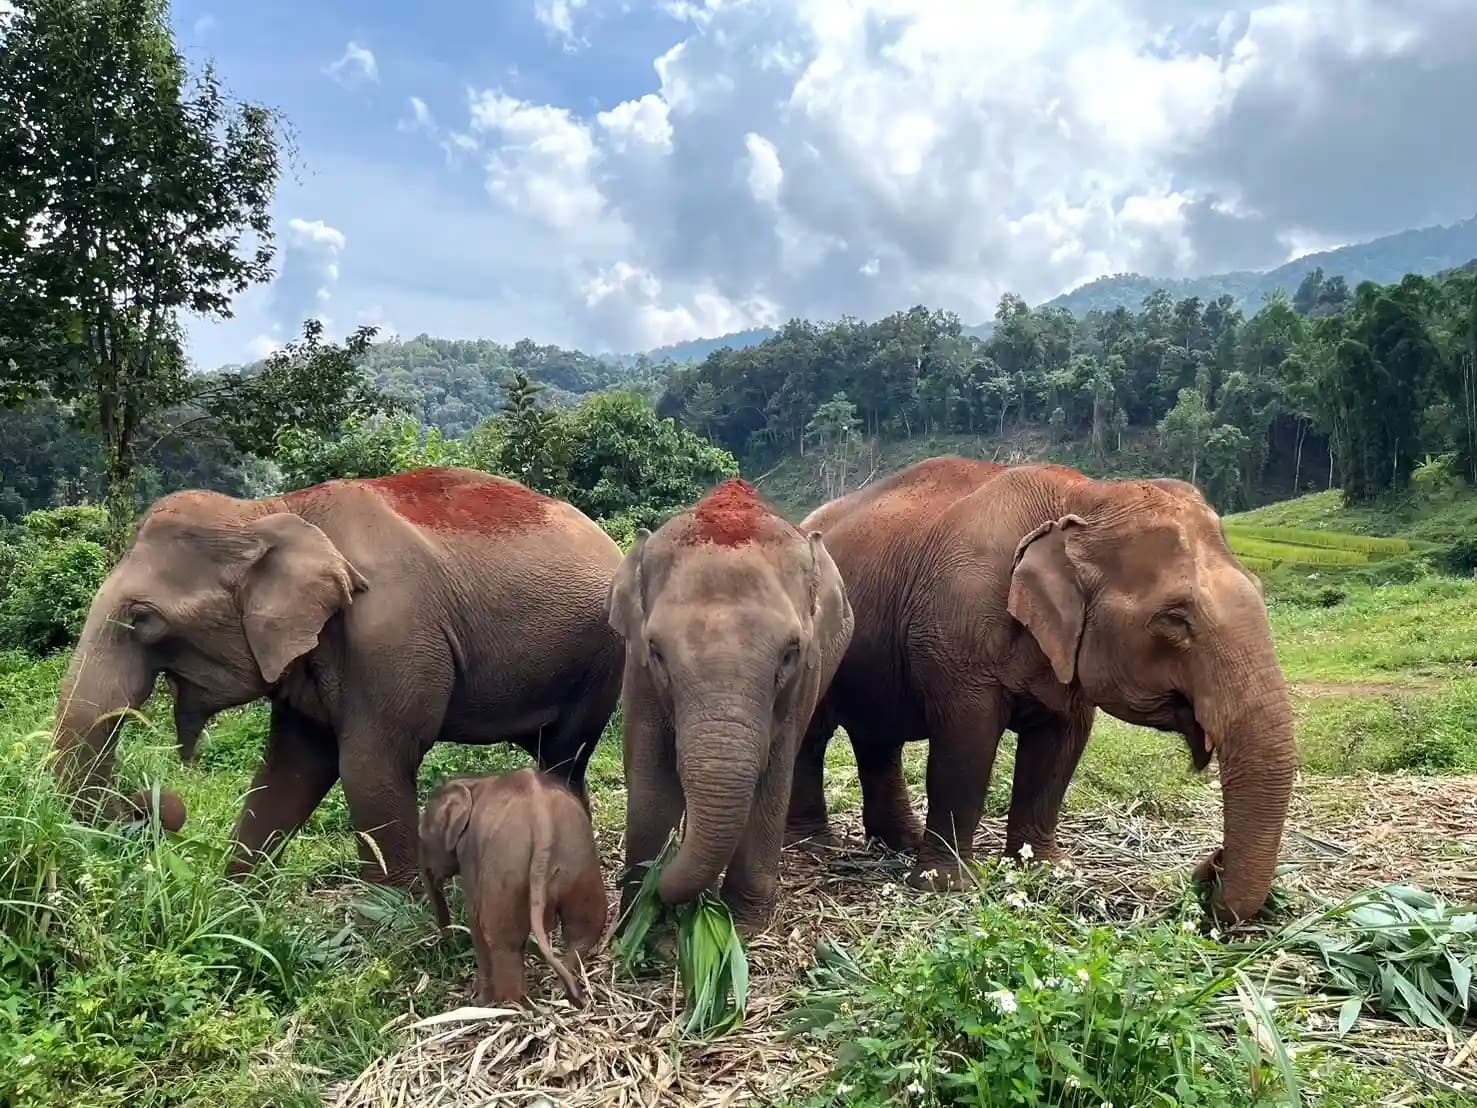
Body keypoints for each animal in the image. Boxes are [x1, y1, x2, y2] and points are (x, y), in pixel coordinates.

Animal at [51, 467, 625, 887]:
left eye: (144, 619)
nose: (165, 804)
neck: (272, 511)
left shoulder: (387, 633)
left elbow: (368, 768)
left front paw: (402, 932)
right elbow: (293, 767)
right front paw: (230, 907)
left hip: (601, 662)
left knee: (563, 757)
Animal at [419, 768, 607, 1006]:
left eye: (420, 837)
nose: (447, 944)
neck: (472, 782)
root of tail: (543, 821)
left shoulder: (469, 851)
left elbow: (475, 919)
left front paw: (478, 997)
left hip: (507, 867)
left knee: (503, 939)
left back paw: (510, 1005)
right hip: (580, 864)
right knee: (584, 930)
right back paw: (565, 993)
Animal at [608, 478, 853, 930]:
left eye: (790, 652)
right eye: (657, 651)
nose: (656, 879)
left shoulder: (802, 681)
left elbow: (773, 776)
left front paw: (740, 924)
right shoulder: (638, 669)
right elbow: (651, 774)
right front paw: (640, 922)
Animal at [783, 457, 1294, 924]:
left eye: (1258, 587)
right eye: (1174, 618)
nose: (1207, 868)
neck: (1084, 497)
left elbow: (1061, 747)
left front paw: (1047, 870)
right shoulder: (957, 637)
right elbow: (965, 745)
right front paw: (946, 886)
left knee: (877, 739)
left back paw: (899, 842)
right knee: (813, 733)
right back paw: (813, 846)